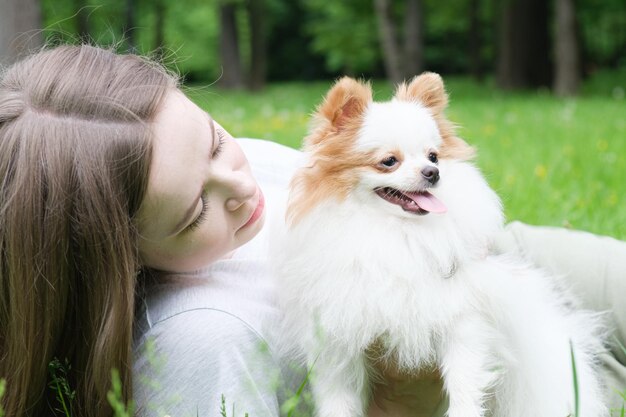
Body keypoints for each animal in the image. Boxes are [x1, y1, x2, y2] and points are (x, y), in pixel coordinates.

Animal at [272, 74, 604, 416]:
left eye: (433, 156)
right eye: (389, 161)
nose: (433, 172)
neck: (394, 231)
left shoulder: (462, 325)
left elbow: (463, 385)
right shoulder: (337, 343)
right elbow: (338, 398)